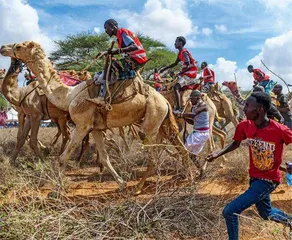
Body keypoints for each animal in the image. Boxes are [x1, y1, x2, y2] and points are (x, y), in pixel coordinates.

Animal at [0, 40, 194, 195]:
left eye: (19, 46)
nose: (3, 47)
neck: (69, 95)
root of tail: (165, 101)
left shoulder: (81, 125)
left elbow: (63, 157)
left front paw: (56, 189)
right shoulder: (96, 129)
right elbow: (104, 157)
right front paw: (121, 183)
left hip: (152, 118)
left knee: (153, 154)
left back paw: (139, 187)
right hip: (163, 120)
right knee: (180, 147)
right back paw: (189, 178)